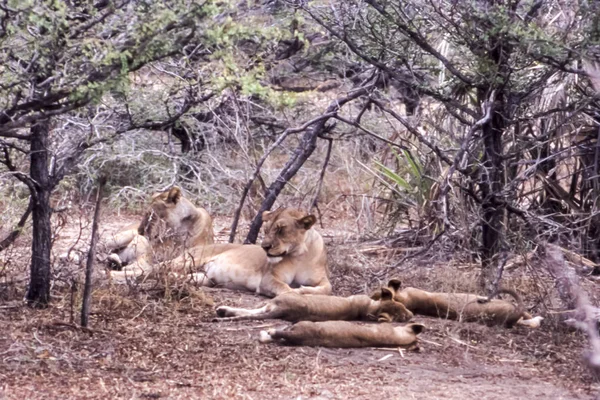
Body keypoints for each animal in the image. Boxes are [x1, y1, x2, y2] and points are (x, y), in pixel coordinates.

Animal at [109, 206, 332, 296]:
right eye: (266, 230)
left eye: (281, 230)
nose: (265, 247)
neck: (299, 254)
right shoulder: (268, 279)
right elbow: (285, 289)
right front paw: (298, 293)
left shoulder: (322, 279)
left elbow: (326, 289)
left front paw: (304, 290)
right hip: (186, 261)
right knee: (148, 270)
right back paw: (112, 273)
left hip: (202, 277)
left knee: (163, 274)